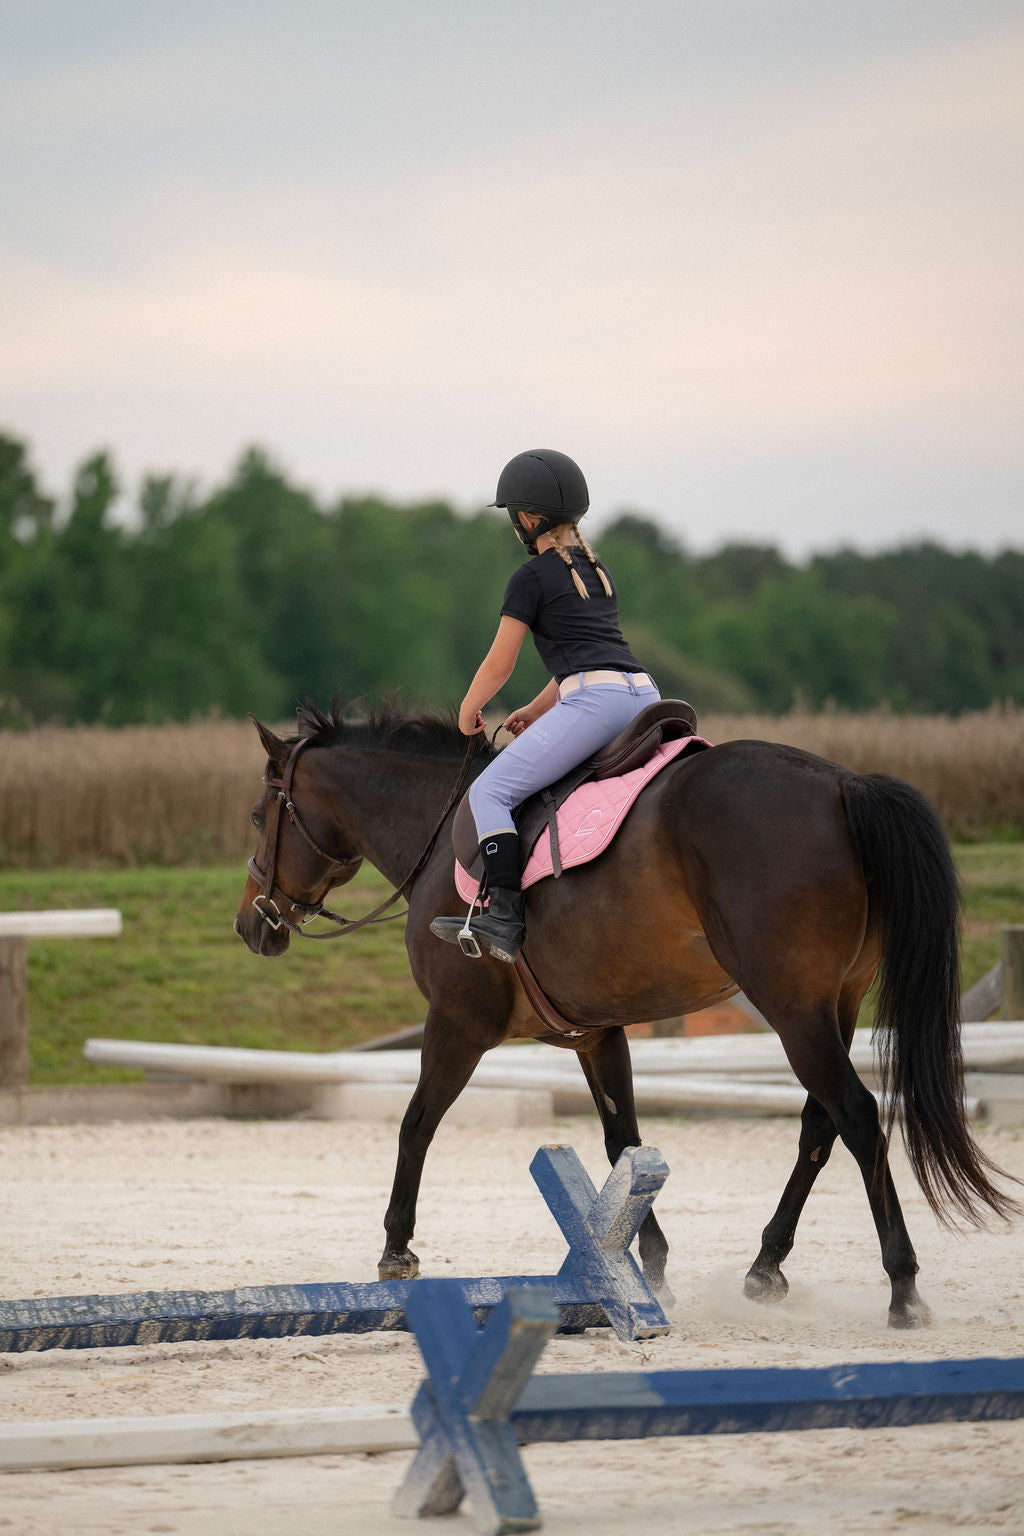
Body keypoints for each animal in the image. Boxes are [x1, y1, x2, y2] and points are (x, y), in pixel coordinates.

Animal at [233, 700, 1017, 1328]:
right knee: (819, 1123)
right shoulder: (597, 1034)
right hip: (836, 1003)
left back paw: (903, 1288)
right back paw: (765, 1267)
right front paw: (650, 1267)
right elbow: (624, 1144)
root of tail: (841, 782)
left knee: (855, 1115)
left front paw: (396, 1249)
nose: (251, 925)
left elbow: (415, 1125)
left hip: (791, 1007)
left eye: (258, 816)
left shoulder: (457, 1023)